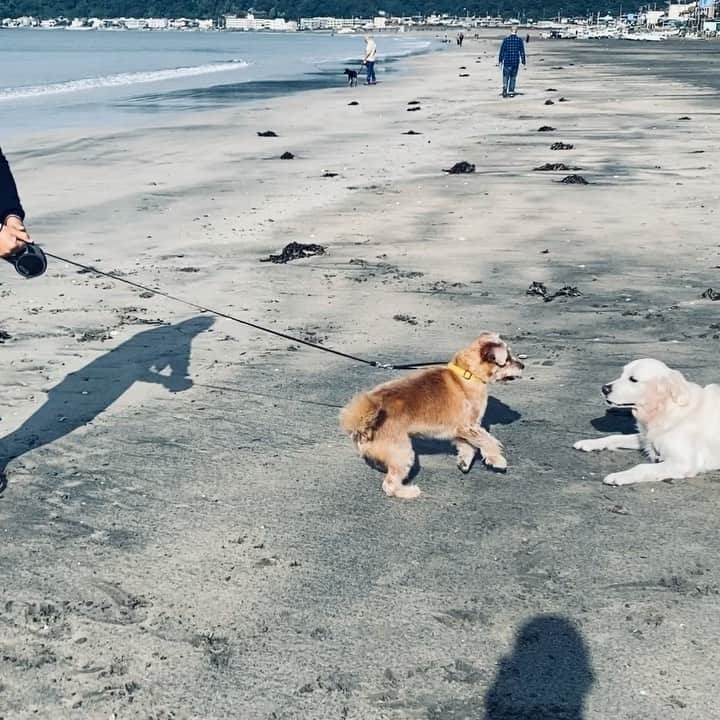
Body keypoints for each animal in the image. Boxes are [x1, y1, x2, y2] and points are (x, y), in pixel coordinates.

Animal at [340, 334, 520, 498]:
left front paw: (464, 461)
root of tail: (362, 422)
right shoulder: (470, 426)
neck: (467, 374)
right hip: (403, 452)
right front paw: (497, 459)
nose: (523, 365)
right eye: (507, 359)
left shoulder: (462, 429)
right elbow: (488, 441)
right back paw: (408, 492)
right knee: (389, 485)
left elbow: (467, 446)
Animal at [572, 358, 720, 486]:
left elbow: (641, 467)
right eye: (622, 374)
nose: (604, 388)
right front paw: (590, 442)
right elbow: (615, 437)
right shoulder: (645, 438)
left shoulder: (684, 463)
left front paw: (619, 476)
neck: (664, 409)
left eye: (633, 379)